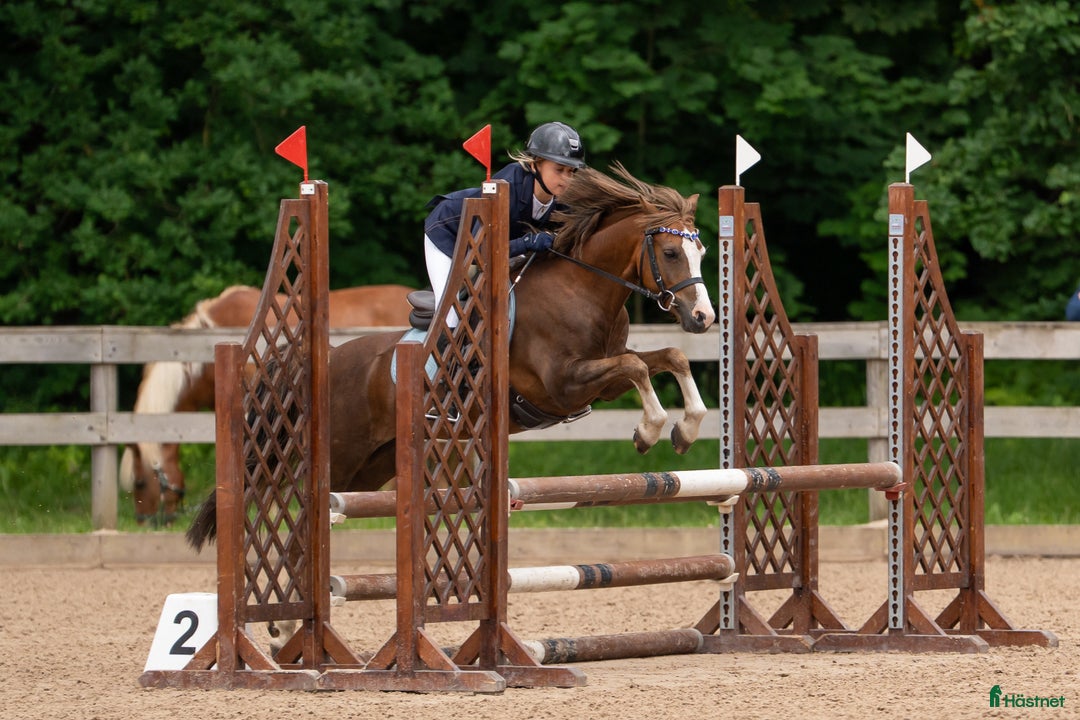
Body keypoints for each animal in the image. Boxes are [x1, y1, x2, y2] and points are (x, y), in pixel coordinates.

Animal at [186, 161, 715, 551]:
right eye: (671, 253)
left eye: (704, 253)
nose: (703, 318)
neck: (583, 289)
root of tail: (322, 362)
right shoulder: (563, 384)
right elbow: (638, 366)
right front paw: (649, 431)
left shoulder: (597, 379)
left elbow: (668, 357)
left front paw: (685, 429)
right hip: (340, 452)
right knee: (290, 505)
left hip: (373, 464)